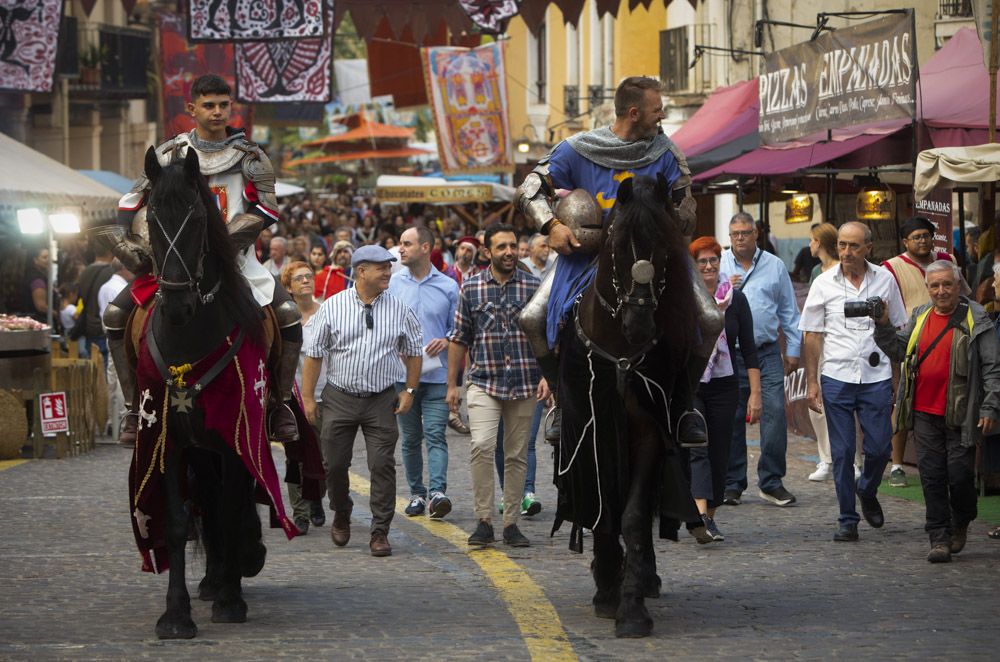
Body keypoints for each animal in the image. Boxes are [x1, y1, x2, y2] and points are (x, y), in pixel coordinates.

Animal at [131, 148, 278, 640]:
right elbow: (179, 523)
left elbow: (233, 509)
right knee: (209, 502)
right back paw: (215, 578)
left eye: (196, 217)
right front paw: (176, 615)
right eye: (153, 216)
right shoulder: (168, 441)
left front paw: (232, 600)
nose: (178, 304)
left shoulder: (236, 437)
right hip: (199, 449)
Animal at [556, 174, 704, 640]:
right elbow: (601, 506)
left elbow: (635, 514)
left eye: (664, 247)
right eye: (618, 245)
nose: (639, 325)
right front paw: (607, 587)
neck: (621, 353)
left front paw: (633, 606)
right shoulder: (591, 422)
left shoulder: (649, 429)